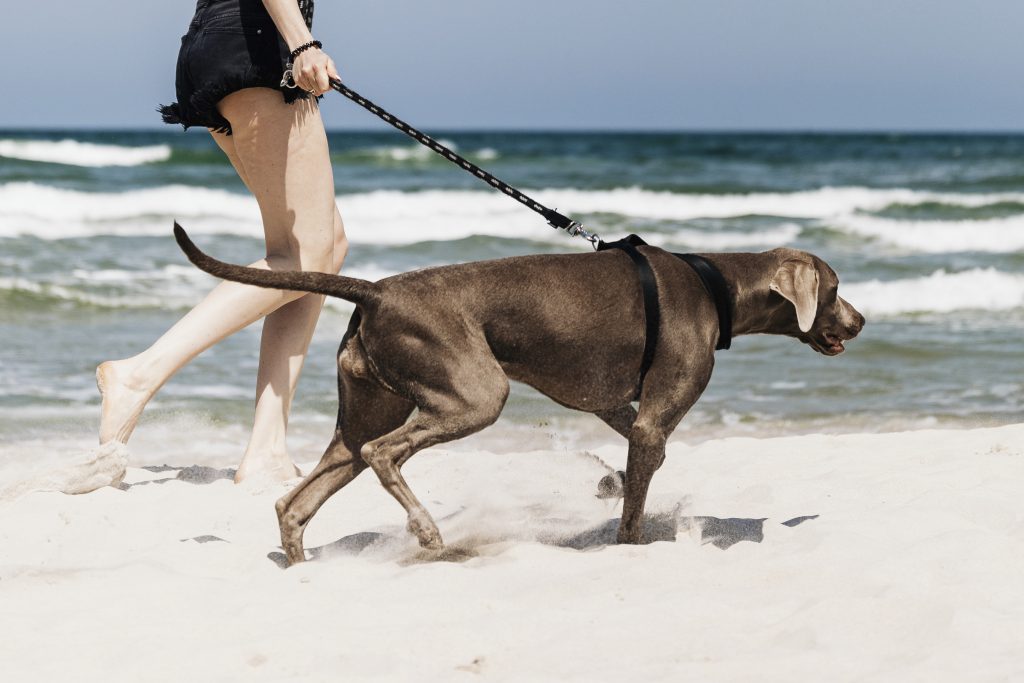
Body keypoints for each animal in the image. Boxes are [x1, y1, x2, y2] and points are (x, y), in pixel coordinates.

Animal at [172, 224, 860, 565]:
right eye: (833, 288)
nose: (858, 323)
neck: (715, 281)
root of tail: (374, 291)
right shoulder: (651, 415)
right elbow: (637, 499)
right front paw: (631, 543)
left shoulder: (608, 401)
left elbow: (635, 450)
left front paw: (609, 480)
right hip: (475, 394)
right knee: (383, 453)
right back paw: (427, 533)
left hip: (365, 408)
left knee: (300, 496)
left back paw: (302, 564)